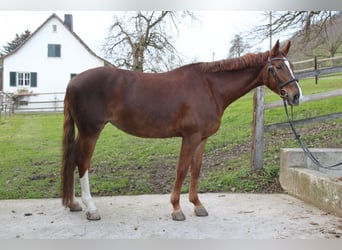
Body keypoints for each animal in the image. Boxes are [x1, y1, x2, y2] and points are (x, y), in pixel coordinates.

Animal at [61, 40, 302, 221]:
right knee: (82, 162)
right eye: (279, 67)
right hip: (91, 132)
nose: (296, 95)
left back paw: (73, 204)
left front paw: (197, 205)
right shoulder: (190, 136)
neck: (210, 87)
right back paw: (91, 208)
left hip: (84, 133)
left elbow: (196, 170)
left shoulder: (202, 138)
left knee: (71, 159)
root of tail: (72, 82)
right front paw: (176, 209)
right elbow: (182, 170)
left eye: (291, 65)